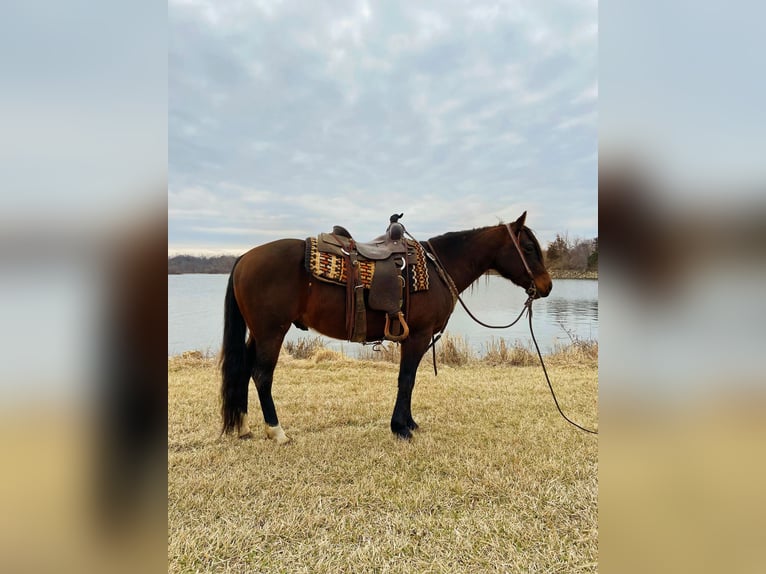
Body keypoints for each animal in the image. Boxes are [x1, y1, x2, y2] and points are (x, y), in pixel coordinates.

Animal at [220, 214, 552, 444]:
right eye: (528, 248)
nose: (547, 286)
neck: (438, 268)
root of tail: (244, 258)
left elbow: (409, 380)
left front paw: (408, 422)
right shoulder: (417, 336)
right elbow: (407, 380)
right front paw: (401, 428)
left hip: (258, 333)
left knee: (244, 370)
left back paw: (244, 427)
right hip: (271, 332)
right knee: (262, 375)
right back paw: (277, 432)